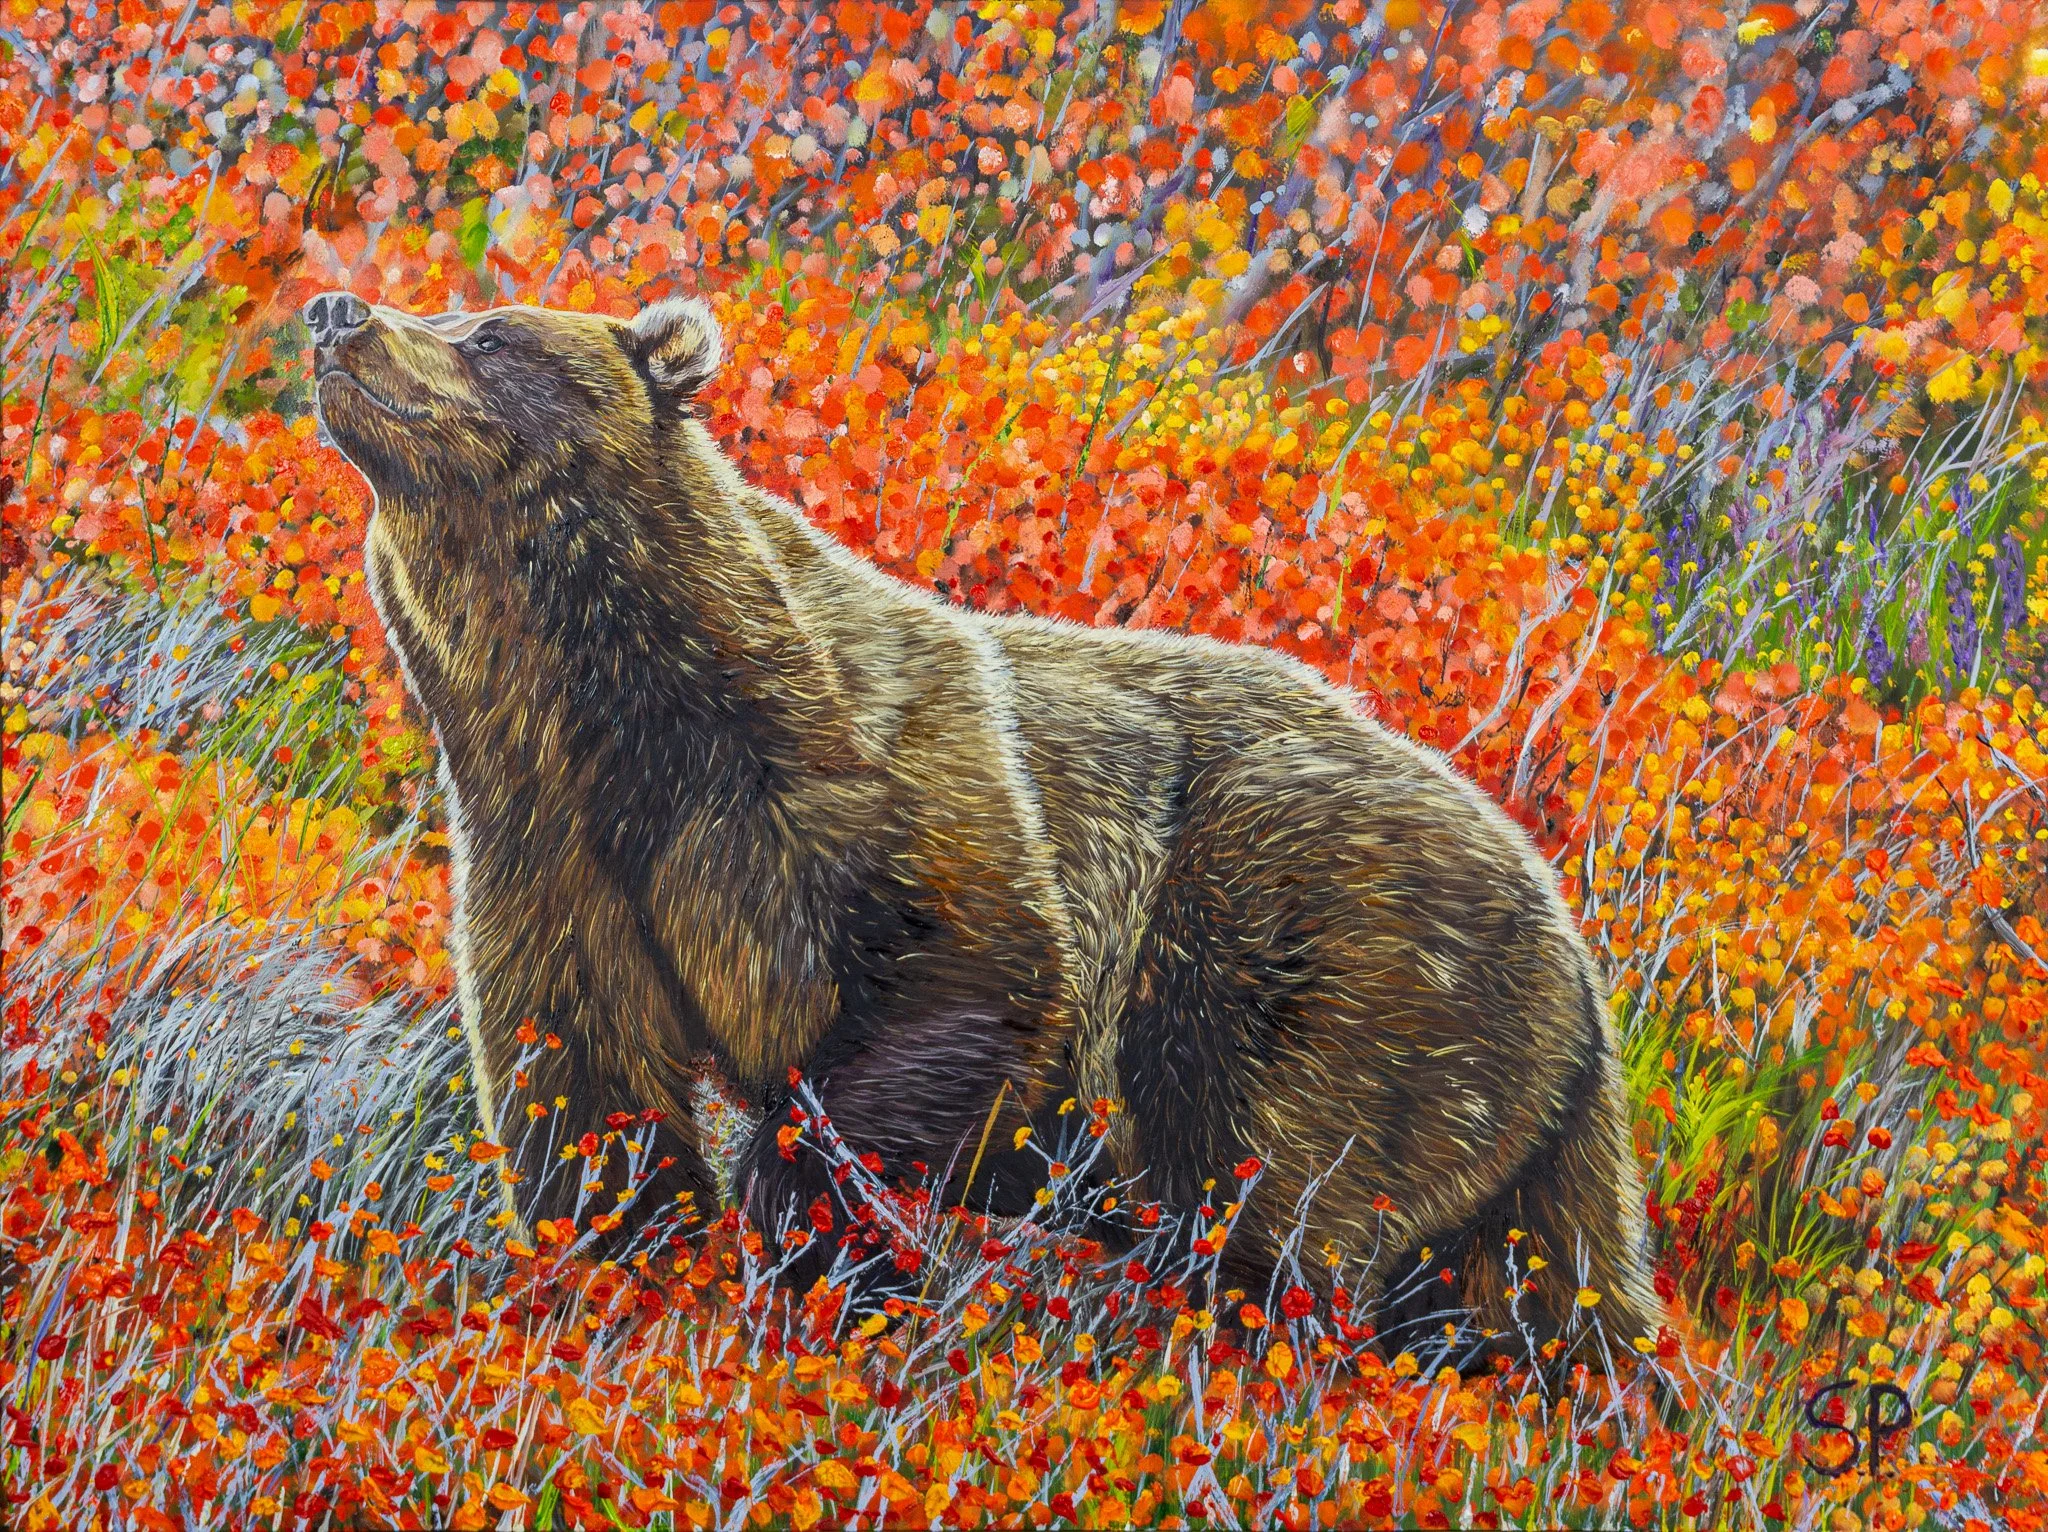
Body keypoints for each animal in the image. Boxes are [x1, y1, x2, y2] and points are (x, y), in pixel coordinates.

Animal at [304, 287, 1662, 1353]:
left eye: (489, 332)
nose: (335, 312)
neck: (617, 712)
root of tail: (1571, 944)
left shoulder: (874, 785)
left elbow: (973, 980)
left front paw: (813, 1226)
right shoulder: (553, 853)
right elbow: (582, 1088)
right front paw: (647, 1267)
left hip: (1330, 971)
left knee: (1278, 1204)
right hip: (1500, 1115)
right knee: (1547, 1294)